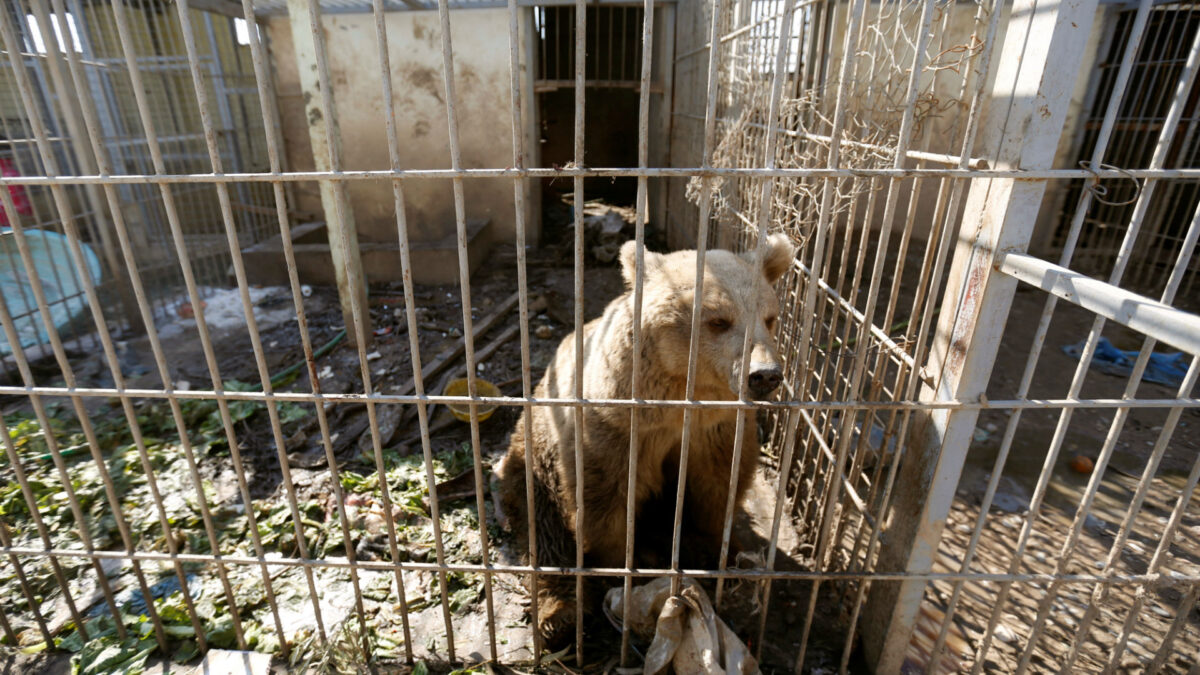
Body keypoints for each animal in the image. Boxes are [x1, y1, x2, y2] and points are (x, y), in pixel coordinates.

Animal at [492, 234, 792, 643]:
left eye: (769, 317)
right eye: (719, 321)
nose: (765, 375)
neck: (680, 398)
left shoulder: (716, 430)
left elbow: (717, 490)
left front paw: (719, 551)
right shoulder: (616, 429)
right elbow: (605, 504)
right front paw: (624, 567)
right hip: (533, 452)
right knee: (544, 528)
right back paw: (561, 615)